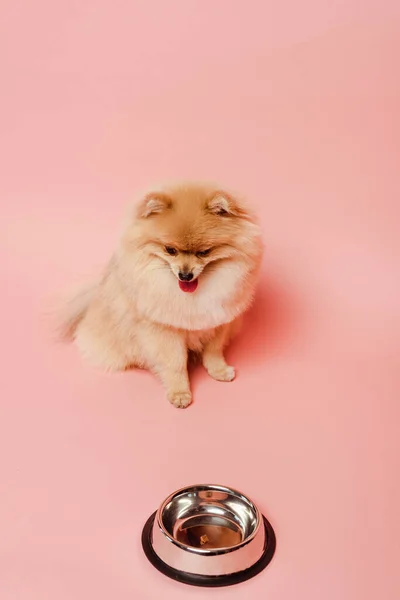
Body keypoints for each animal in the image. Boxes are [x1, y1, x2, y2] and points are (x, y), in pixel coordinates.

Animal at [59, 182, 264, 408]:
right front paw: (179, 393)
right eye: (170, 250)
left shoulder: (219, 322)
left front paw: (218, 370)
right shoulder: (164, 331)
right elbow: (175, 363)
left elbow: (214, 350)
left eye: (204, 252)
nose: (185, 275)